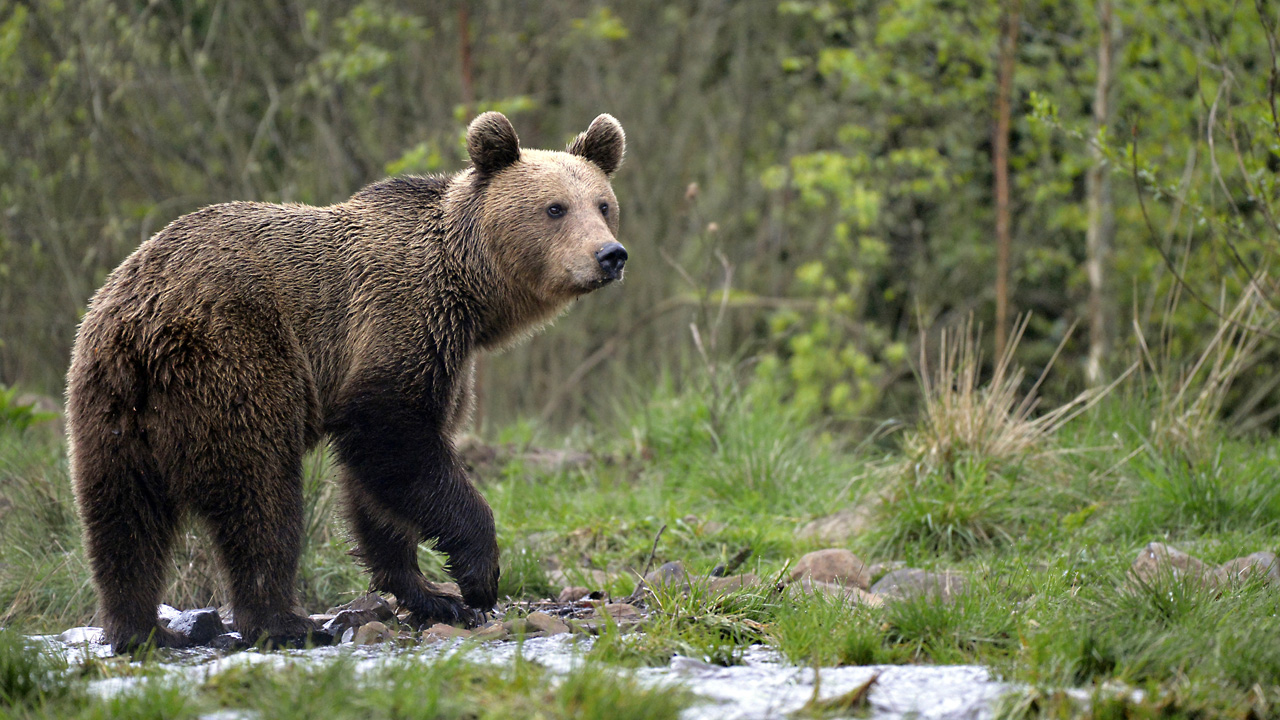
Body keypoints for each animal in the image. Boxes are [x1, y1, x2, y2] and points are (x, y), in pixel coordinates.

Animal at [65, 112, 627, 653]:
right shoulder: (399, 325)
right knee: (261, 496)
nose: (610, 255)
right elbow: (395, 441)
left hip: (110, 406)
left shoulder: (445, 357)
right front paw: (477, 578)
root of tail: (142, 324)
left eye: (603, 205)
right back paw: (284, 621)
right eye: (555, 208)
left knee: (122, 520)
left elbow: (378, 486)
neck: (468, 291)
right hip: (235, 362)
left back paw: (140, 629)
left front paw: (430, 594)